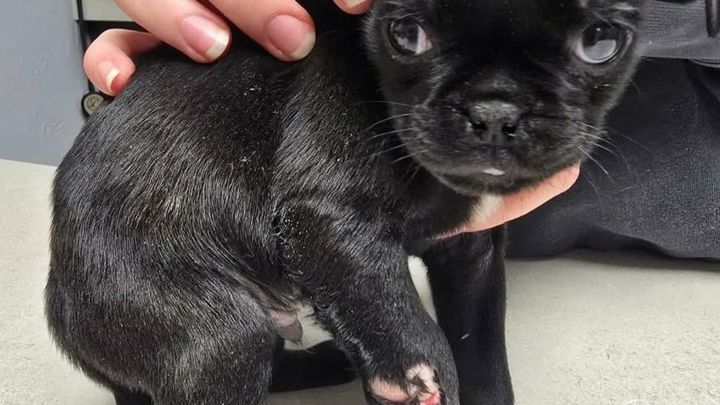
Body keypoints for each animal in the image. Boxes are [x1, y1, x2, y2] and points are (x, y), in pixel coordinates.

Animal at [46, 0, 643, 404]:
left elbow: (482, 353)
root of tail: (62, 298)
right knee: (234, 352)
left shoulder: (471, 257)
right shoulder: (325, 217)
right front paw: (415, 377)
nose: (495, 111)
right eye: (406, 34)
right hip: (204, 329)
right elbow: (400, 319)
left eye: (600, 42)